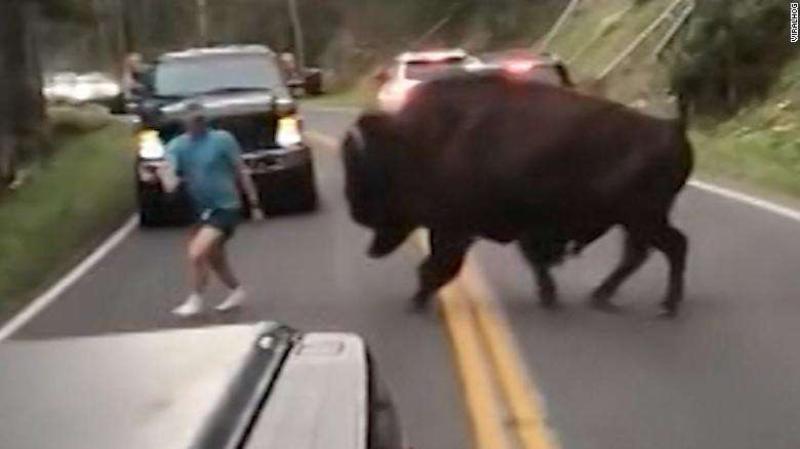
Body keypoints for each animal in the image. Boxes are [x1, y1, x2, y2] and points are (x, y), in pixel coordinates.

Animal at [340, 72, 692, 314]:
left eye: (362, 168)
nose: (355, 213)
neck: (416, 141)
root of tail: (672, 128)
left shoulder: (455, 229)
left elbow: (438, 266)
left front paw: (415, 301)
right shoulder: (514, 228)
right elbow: (533, 261)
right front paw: (548, 296)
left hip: (642, 218)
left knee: (670, 247)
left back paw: (666, 306)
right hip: (636, 220)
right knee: (641, 254)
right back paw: (603, 297)